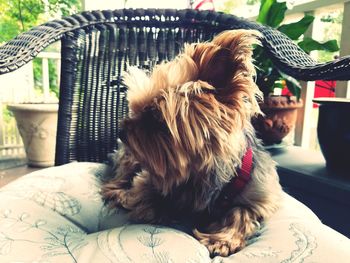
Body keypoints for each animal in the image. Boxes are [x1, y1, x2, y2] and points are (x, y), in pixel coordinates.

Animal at [101, 29, 282, 258]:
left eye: (155, 117)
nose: (121, 131)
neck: (199, 172)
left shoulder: (259, 197)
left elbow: (241, 213)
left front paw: (222, 240)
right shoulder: (150, 178)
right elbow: (148, 198)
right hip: (129, 157)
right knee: (118, 177)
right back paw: (118, 192)